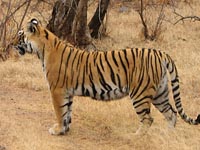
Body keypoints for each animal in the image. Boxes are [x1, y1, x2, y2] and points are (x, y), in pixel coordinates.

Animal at [12, 18, 200, 135]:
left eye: (20, 35)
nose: (11, 44)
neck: (42, 49)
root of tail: (160, 53)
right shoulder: (67, 92)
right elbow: (67, 112)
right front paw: (64, 130)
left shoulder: (57, 90)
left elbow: (60, 112)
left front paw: (57, 130)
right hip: (160, 93)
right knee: (172, 113)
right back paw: (168, 135)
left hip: (140, 94)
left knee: (148, 118)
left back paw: (136, 136)